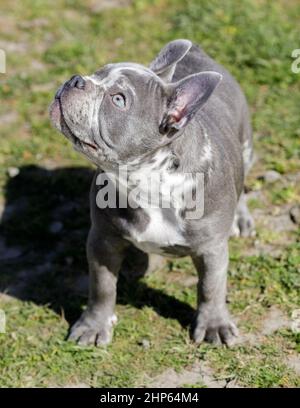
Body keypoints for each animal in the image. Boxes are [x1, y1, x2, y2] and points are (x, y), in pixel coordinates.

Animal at [49, 39, 255, 348]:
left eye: (118, 99)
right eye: (97, 73)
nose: (76, 79)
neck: (145, 182)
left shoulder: (212, 249)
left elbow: (211, 287)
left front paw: (214, 325)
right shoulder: (102, 240)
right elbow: (102, 287)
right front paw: (93, 325)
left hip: (246, 146)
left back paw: (240, 218)